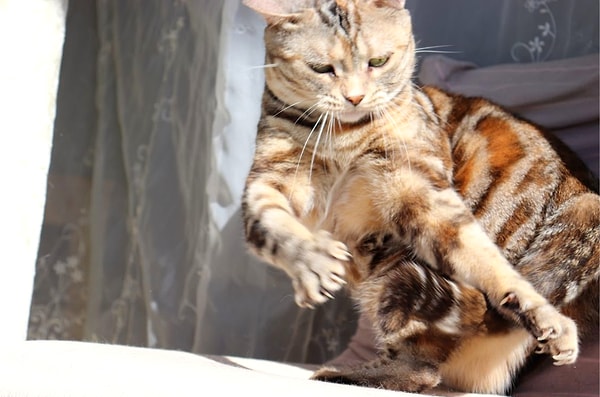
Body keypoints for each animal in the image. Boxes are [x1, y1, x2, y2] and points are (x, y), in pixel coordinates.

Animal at [240, 0, 600, 392]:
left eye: (378, 61)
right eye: (322, 68)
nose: (355, 97)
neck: (343, 138)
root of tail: (585, 196)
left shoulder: (419, 188)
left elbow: (485, 259)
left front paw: (542, 314)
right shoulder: (267, 181)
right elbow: (276, 228)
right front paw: (313, 262)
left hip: (398, 267)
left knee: (428, 358)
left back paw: (344, 374)